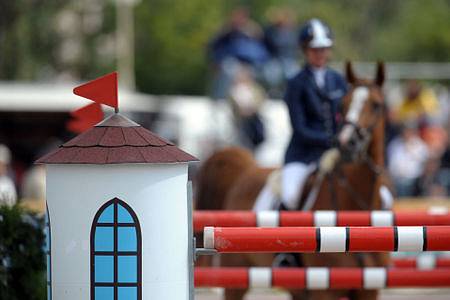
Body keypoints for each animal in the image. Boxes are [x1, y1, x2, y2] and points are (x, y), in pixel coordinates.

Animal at [195, 61, 388, 300]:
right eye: (343, 105)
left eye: (376, 105)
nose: (347, 144)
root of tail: (246, 171)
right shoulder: (325, 291)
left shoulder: (369, 289)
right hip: (236, 274)